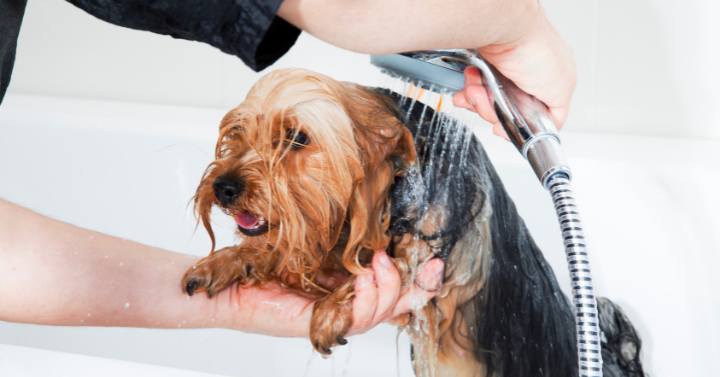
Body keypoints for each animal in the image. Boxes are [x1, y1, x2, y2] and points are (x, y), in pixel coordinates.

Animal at [181, 68, 648, 376]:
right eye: (236, 131)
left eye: (297, 138)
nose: (224, 187)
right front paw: (225, 261)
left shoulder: (436, 279)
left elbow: (381, 271)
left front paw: (332, 311)